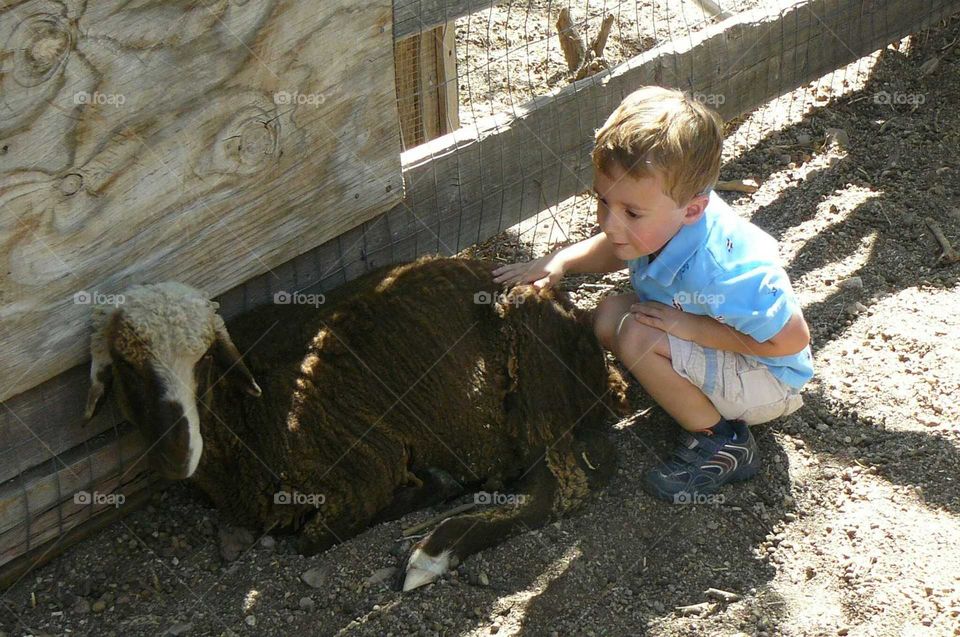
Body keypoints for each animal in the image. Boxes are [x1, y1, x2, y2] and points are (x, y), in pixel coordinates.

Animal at [84, 255, 632, 592]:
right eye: (127, 366)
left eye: (202, 362)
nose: (175, 451)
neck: (245, 417)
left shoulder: (366, 463)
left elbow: (313, 539)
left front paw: (435, 485)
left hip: (534, 373)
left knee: (560, 487)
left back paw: (435, 551)